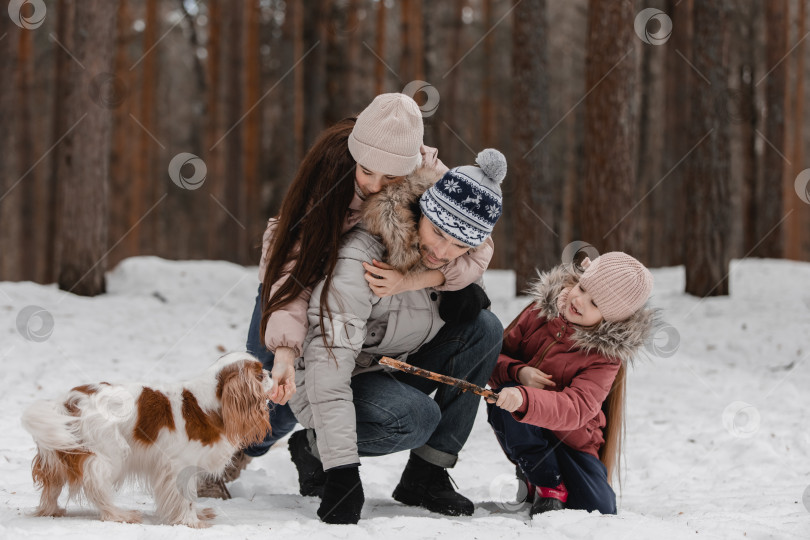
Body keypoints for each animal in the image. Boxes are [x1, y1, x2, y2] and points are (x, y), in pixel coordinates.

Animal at [19, 350, 270, 528]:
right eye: (259, 374)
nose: (269, 372)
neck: (206, 405)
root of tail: (68, 401)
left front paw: (197, 515)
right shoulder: (179, 465)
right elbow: (186, 497)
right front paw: (191, 521)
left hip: (61, 449)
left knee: (52, 485)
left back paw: (51, 511)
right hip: (109, 454)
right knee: (96, 487)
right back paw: (118, 514)